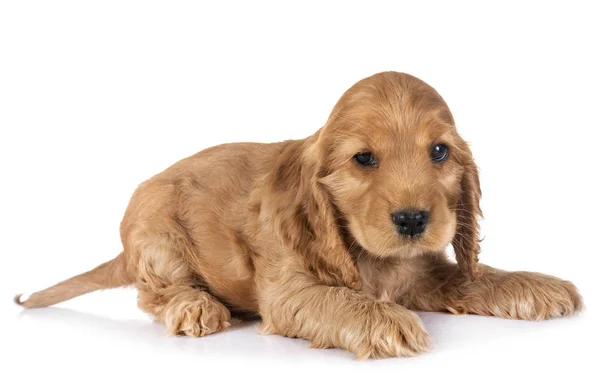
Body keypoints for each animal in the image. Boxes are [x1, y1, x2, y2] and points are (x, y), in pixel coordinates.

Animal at [14, 71, 584, 358]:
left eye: (440, 152)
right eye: (364, 158)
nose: (412, 221)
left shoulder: (419, 269)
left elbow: (469, 276)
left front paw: (533, 285)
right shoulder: (288, 292)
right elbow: (338, 301)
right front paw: (385, 320)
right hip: (157, 237)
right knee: (153, 292)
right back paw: (196, 306)